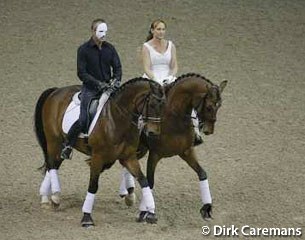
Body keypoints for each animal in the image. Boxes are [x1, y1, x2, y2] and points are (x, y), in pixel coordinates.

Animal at [33, 78, 164, 227]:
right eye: (152, 105)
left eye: (163, 106)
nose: (154, 133)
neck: (117, 119)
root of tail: (56, 91)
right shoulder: (98, 157)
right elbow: (93, 185)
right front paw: (86, 217)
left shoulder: (128, 157)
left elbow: (143, 180)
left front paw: (151, 212)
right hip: (53, 141)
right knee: (51, 165)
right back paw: (53, 197)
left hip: (60, 145)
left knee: (53, 164)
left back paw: (48, 198)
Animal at [120, 73, 227, 221]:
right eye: (209, 107)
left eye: (220, 106)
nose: (209, 130)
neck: (174, 118)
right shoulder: (155, 154)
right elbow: (150, 182)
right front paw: (145, 211)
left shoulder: (186, 151)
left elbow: (202, 173)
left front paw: (207, 207)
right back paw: (127, 193)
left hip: (141, 149)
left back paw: (129, 194)